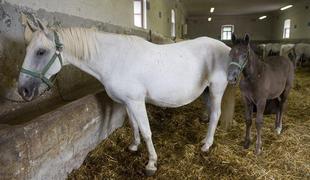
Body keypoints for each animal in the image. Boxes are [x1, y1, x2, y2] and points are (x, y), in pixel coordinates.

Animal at [16, 20, 230, 176]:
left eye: (41, 51)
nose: (23, 90)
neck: (115, 59)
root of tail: (225, 48)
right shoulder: (128, 102)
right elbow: (134, 125)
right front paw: (134, 146)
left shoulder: (136, 101)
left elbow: (146, 131)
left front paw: (151, 163)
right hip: (206, 91)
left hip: (217, 89)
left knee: (216, 114)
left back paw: (206, 144)